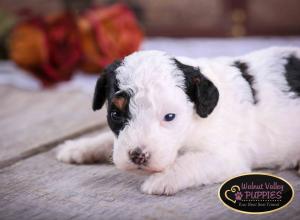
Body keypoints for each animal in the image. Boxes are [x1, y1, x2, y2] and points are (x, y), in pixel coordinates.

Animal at [56, 47, 300, 195]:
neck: (193, 124)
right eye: (115, 115)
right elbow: (108, 140)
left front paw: (162, 179)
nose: (137, 156)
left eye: (169, 117)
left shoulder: (227, 157)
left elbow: (191, 162)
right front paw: (79, 147)